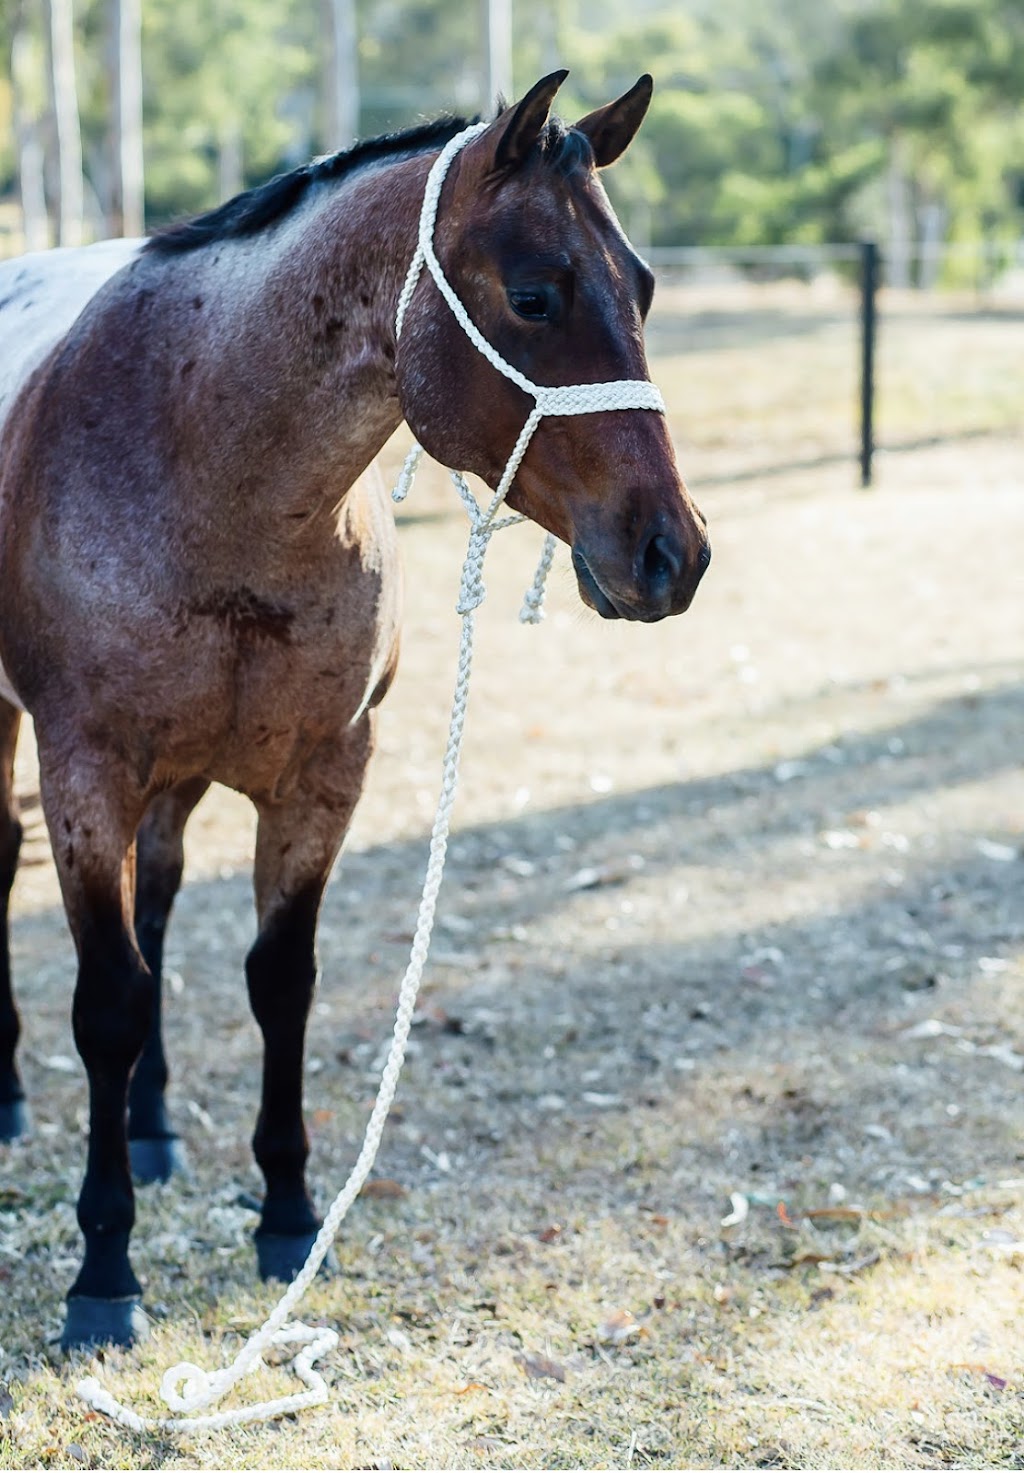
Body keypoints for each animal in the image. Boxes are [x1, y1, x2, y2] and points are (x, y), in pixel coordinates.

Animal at [0, 74, 710, 1349]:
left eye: (639, 287)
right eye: (534, 296)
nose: (669, 553)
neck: (199, 470)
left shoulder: (324, 773)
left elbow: (278, 980)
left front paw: (287, 1217)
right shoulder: (85, 772)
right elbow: (108, 1004)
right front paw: (104, 1274)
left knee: (162, 901)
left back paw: (156, 1128)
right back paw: (18, 1104)